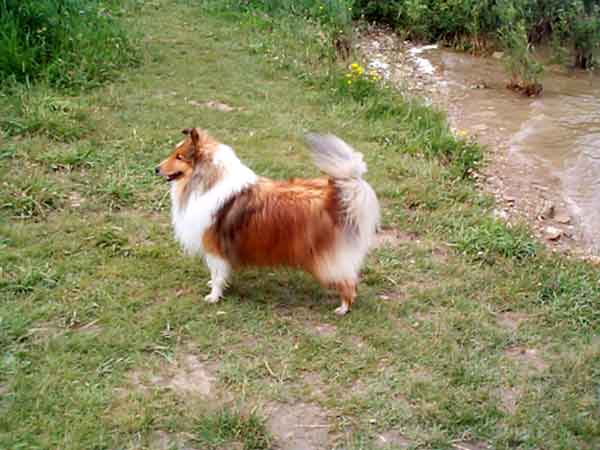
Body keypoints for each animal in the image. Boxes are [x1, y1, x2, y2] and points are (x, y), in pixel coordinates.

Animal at [156, 128, 380, 314]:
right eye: (174, 153)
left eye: (179, 156)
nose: (156, 169)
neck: (208, 182)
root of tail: (336, 196)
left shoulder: (214, 248)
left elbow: (217, 274)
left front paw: (213, 296)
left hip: (326, 259)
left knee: (348, 282)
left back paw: (343, 308)